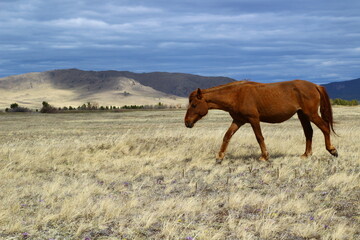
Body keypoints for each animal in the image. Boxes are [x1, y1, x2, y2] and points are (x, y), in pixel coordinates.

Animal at [184, 79, 338, 164]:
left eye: (194, 105)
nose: (187, 122)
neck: (236, 95)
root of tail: (315, 86)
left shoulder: (253, 119)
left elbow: (259, 137)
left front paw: (264, 157)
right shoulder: (238, 121)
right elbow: (227, 136)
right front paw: (219, 157)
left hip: (310, 114)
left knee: (324, 128)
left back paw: (332, 150)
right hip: (302, 115)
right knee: (308, 132)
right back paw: (306, 154)